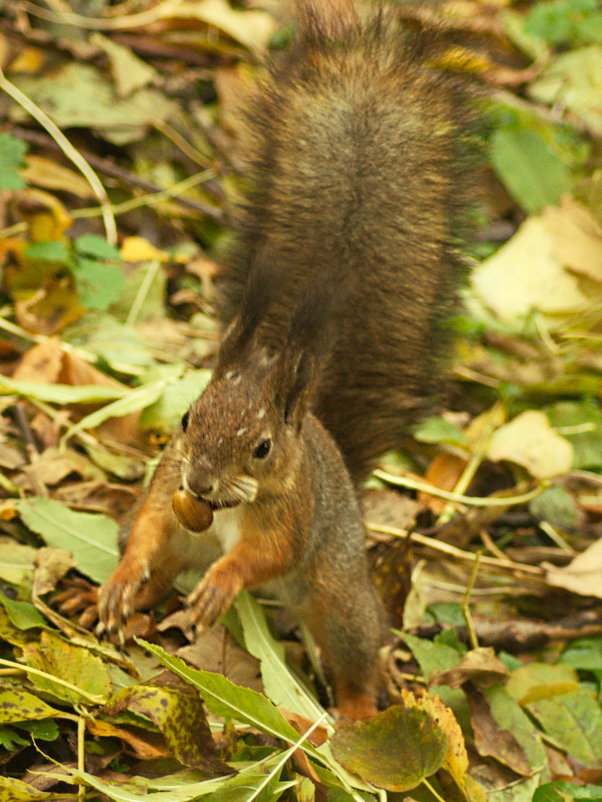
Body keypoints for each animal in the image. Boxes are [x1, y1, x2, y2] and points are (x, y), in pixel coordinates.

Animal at [95, 0, 478, 720]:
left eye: (264, 447)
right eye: (186, 419)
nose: (201, 483)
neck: (223, 509)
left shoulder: (292, 518)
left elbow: (264, 556)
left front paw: (223, 582)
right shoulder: (164, 490)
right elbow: (148, 531)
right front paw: (122, 578)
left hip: (339, 595)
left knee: (353, 651)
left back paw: (355, 713)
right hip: (181, 550)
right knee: (160, 567)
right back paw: (125, 606)